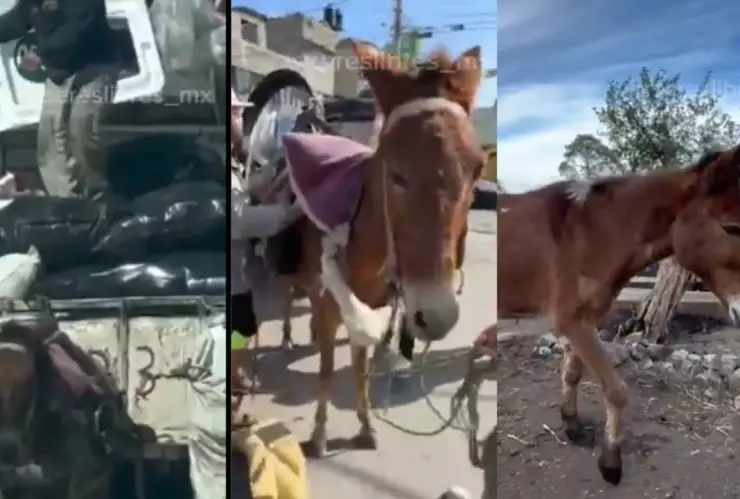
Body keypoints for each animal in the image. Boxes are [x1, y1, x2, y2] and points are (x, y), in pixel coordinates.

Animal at [270, 41, 485, 456]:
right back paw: (288, 334)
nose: (437, 317)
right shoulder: (332, 305)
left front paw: (366, 426)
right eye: (394, 172)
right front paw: (319, 436)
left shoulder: (368, 307)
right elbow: (326, 375)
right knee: (287, 296)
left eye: (478, 169)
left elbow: (359, 371)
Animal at [498, 146, 740, 485]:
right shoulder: (572, 322)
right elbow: (616, 390)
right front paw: (611, 462)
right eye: (731, 227)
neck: (588, 233)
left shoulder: (586, 319)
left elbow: (572, 373)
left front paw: (572, 425)